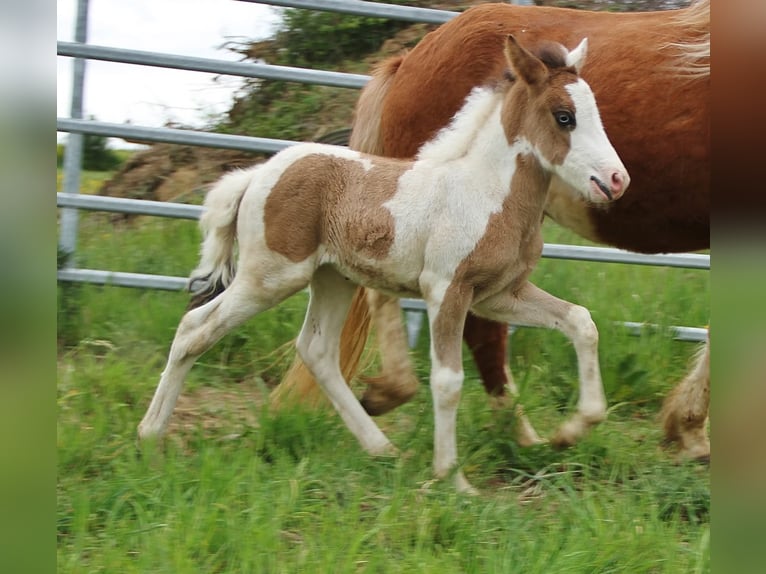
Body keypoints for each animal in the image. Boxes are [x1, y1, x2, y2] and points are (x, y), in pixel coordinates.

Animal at [138, 36, 629, 492]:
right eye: (564, 116)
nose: (617, 179)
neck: (486, 192)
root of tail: (257, 174)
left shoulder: (500, 294)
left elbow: (581, 322)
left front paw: (570, 431)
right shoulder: (447, 290)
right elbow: (448, 380)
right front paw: (454, 480)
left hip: (332, 278)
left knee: (317, 350)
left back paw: (382, 448)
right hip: (271, 276)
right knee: (195, 328)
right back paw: (150, 436)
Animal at [272, 0, 710, 461]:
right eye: (564, 117)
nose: (617, 179)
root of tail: (408, 59)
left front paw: (687, 428)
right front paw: (689, 428)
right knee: (458, 322)